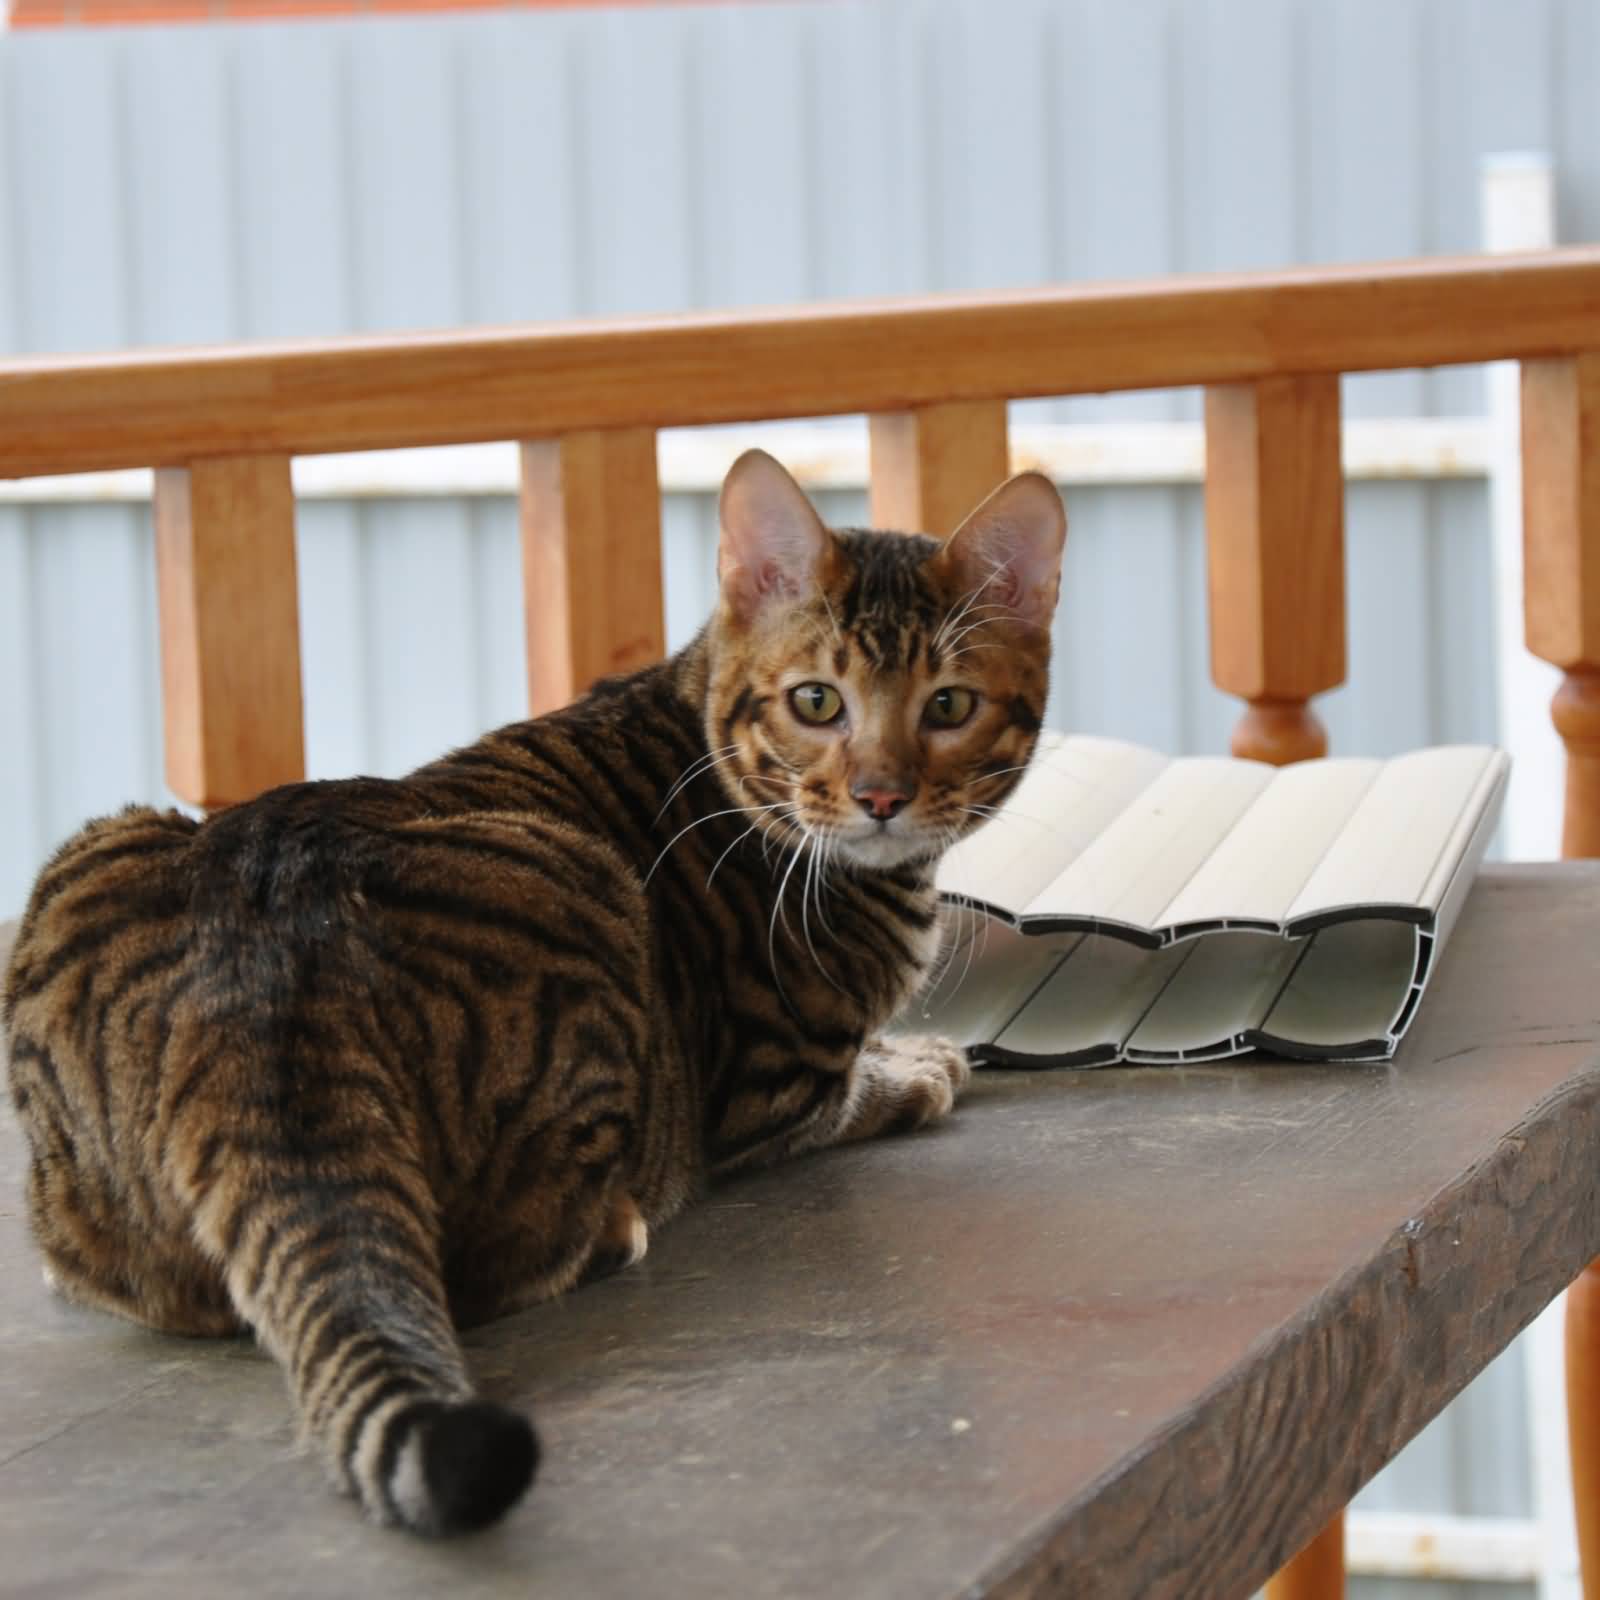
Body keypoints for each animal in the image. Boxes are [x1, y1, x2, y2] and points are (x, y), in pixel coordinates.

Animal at [6, 451, 1068, 1536]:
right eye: (818, 702)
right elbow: (860, 1085)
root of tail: (265, 972)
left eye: (948, 706)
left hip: (93, 858)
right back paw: (614, 1225)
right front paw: (922, 1062)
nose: (881, 795)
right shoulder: (772, 1087)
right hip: (582, 889)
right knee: (487, 1260)